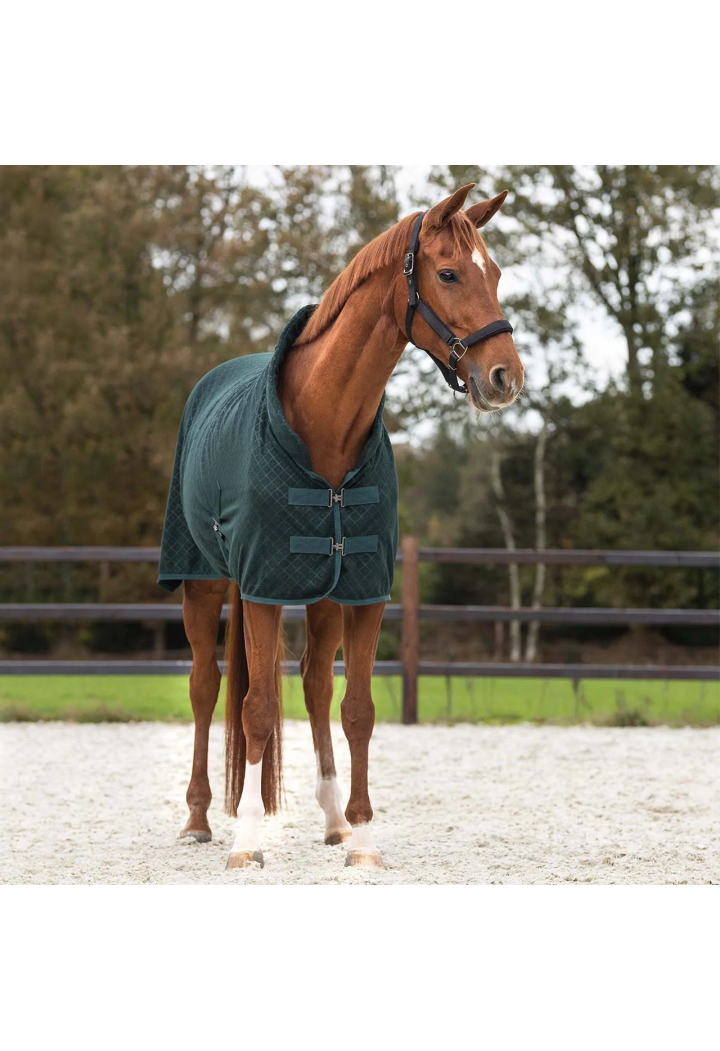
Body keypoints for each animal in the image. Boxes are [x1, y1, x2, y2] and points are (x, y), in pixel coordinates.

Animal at [158, 182, 524, 870]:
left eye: (494, 273)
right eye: (448, 273)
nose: (504, 377)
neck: (323, 423)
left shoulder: (362, 588)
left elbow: (356, 709)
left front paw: (363, 839)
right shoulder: (262, 587)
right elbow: (256, 708)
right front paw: (247, 844)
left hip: (322, 597)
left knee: (314, 689)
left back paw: (332, 822)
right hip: (203, 584)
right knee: (204, 686)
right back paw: (197, 819)